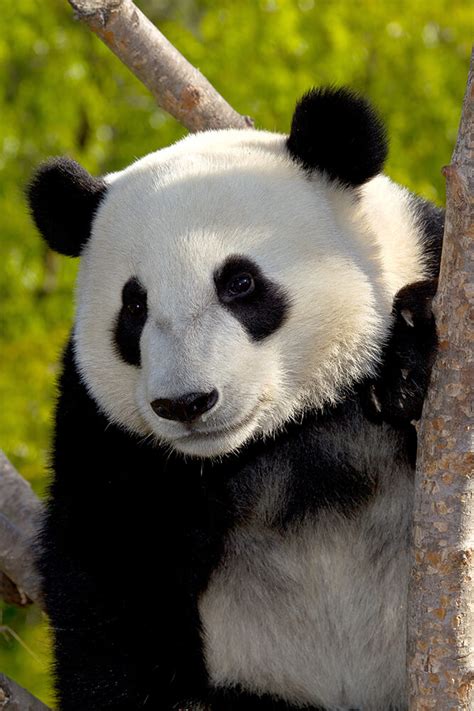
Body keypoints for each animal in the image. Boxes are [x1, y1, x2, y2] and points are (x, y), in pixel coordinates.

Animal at [28, 89, 444, 711]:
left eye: (240, 283)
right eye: (134, 306)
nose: (186, 403)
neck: (291, 427)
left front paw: (411, 359)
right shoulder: (104, 430)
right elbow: (108, 572)